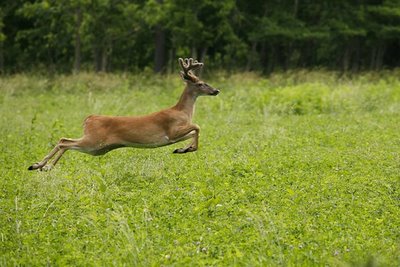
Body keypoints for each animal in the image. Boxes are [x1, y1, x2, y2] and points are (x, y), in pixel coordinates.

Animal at [28, 58, 220, 172]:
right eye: (201, 83)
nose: (216, 90)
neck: (182, 111)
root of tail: (89, 118)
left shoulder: (174, 136)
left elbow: (193, 133)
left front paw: (183, 149)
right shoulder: (172, 130)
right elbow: (197, 126)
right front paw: (188, 148)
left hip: (96, 147)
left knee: (64, 141)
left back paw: (42, 167)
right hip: (93, 141)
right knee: (64, 142)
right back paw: (40, 165)